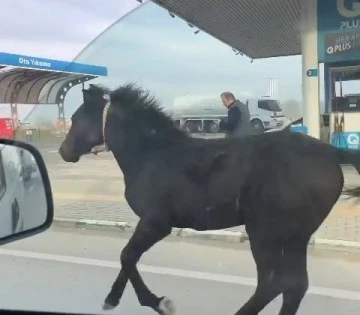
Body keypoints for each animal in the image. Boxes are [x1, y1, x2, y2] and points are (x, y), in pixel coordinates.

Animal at [59, 84, 360, 315]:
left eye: (75, 118)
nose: (64, 151)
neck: (152, 154)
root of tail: (332, 153)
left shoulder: (156, 223)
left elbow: (127, 255)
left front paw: (159, 302)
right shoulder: (151, 224)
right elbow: (127, 258)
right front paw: (112, 299)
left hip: (264, 231)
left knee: (273, 282)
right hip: (295, 235)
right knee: (295, 285)